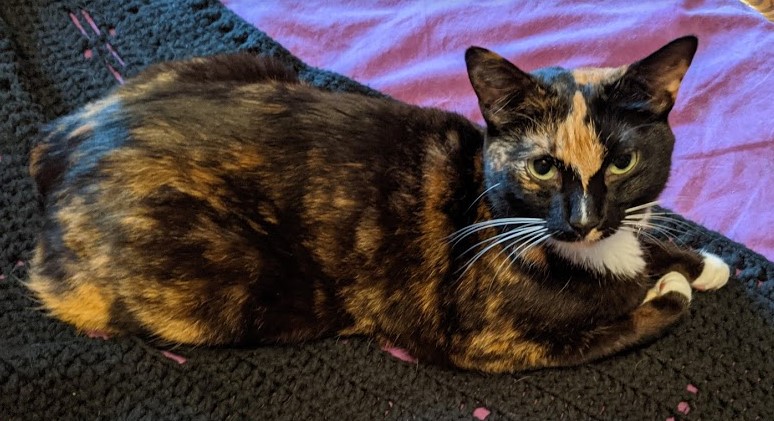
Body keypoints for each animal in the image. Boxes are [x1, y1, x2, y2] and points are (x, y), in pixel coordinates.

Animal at [27, 36, 732, 370]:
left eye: (623, 162)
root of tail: (60, 145)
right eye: (541, 167)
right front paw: (671, 290)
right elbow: (622, 326)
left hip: (251, 64)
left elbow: (653, 244)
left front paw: (702, 262)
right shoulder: (491, 341)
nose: (584, 220)